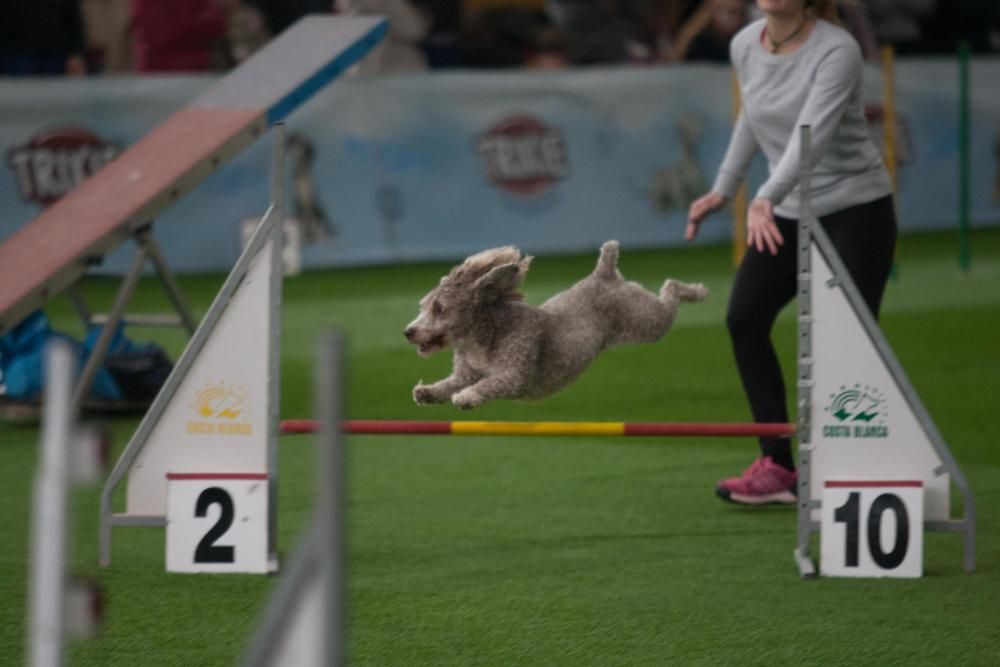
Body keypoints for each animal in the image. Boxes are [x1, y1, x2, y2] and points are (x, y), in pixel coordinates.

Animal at [402, 237, 708, 410]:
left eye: (440, 308)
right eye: (423, 306)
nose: (408, 332)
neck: (483, 336)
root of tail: (603, 272)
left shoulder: (514, 374)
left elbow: (488, 383)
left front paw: (467, 398)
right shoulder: (464, 373)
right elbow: (450, 383)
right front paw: (427, 392)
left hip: (648, 320)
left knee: (670, 289)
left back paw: (697, 291)